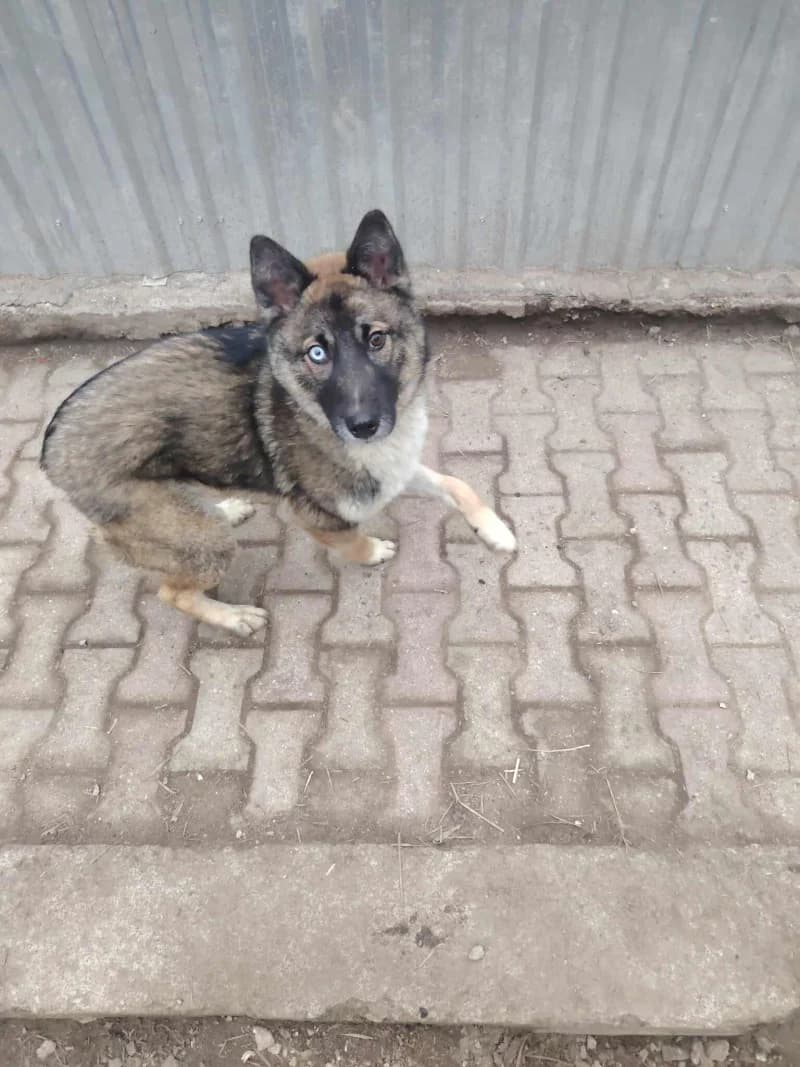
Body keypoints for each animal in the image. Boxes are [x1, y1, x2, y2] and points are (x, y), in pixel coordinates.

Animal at [41, 210, 516, 636]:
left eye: (376, 339)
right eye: (316, 353)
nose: (363, 426)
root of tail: (51, 443)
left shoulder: (394, 469)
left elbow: (460, 485)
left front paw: (494, 529)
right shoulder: (318, 517)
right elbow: (353, 540)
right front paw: (372, 550)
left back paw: (226, 508)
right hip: (203, 543)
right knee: (173, 592)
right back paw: (232, 617)